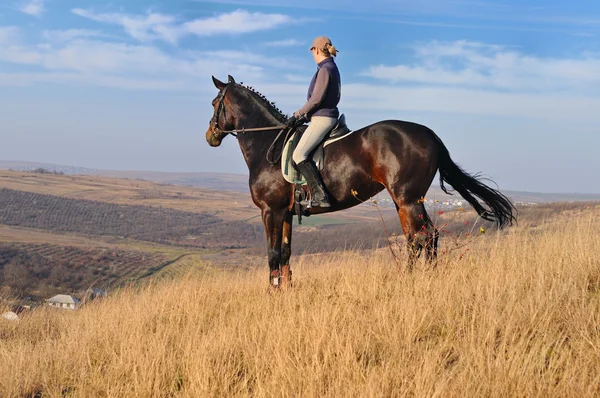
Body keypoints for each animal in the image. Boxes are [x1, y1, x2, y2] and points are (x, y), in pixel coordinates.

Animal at [205, 74, 516, 290]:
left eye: (214, 103)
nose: (210, 136)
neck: (267, 142)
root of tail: (430, 134)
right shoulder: (286, 213)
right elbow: (285, 254)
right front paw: (286, 291)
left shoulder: (271, 211)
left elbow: (272, 254)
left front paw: (272, 294)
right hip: (406, 201)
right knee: (419, 238)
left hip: (407, 199)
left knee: (423, 237)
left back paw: (418, 280)